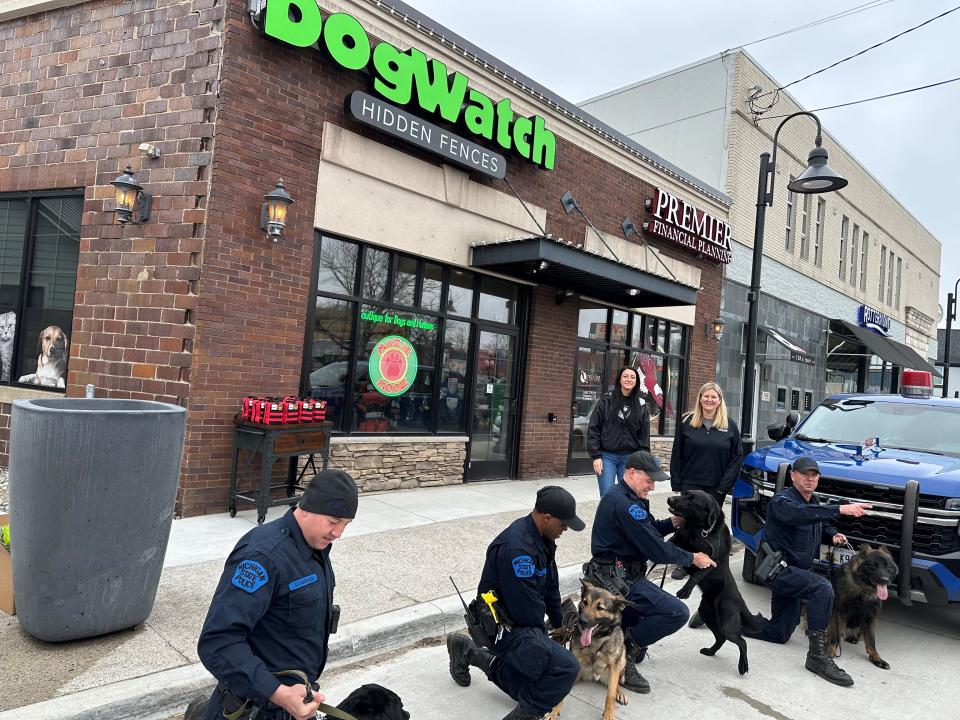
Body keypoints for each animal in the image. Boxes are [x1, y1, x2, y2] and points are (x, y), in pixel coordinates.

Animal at [548, 580, 632, 720]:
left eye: (600, 608)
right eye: (585, 602)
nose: (581, 621)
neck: (595, 639)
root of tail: (594, 676)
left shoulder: (614, 665)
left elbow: (610, 694)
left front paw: (609, 713)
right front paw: (554, 710)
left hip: (622, 657)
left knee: (615, 684)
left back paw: (620, 692)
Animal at [672, 490, 760, 676]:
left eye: (692, 500)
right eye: (684, 493)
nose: (670, 499)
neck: (700, 530)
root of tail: (740, 601)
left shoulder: (711, 561)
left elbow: (696, 575)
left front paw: (685, 590)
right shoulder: (677, 541)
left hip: (727, 621)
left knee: (741, 641)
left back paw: (743, 665)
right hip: (707, 613)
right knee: (721, 638)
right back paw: (711, 651)